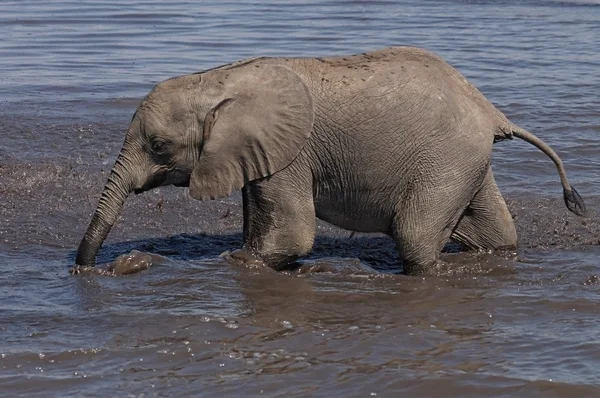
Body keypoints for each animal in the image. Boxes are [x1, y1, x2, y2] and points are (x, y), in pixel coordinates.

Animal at [71, 46, 584, 276]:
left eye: (158, 145)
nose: (85, 272)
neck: (216, 79)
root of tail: (492, 112)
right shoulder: (258, 154)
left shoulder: (290, 154)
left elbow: (293, 234)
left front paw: (232, 261)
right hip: (465, 159)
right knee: (494, 233)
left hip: (447, 158)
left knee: (415, 237)